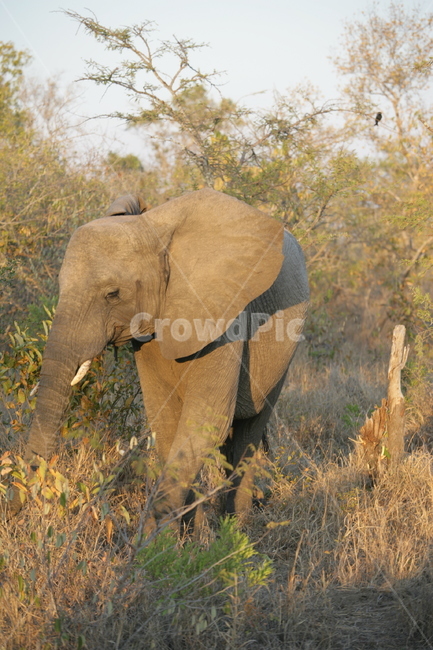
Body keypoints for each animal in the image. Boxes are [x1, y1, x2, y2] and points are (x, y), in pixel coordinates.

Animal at [7, 188, 309, 527]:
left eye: (113, 294)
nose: (12, 514)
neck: (155, 232)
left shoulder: (226, 315)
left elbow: (207, 422)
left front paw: (156, 538)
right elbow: (166, 424)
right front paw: (186, 534)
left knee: (249, 431)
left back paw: (236, 529)